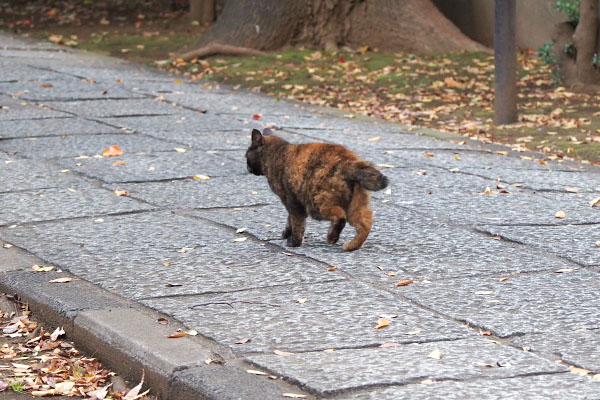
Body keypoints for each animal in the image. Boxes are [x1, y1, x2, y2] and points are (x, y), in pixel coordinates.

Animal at [245, 128, 390, 250]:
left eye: (246, 156)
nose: (247, 168)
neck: (276, 153)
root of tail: (350, 162)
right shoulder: (293, 203)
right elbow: (289, 220)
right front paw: (286, 233)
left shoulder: (292, 202)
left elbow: (296, 223)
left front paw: (293, 242)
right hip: (355, 206)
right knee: (365, 225)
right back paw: (351, 246)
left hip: (318, 202)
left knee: (340, 216)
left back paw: (332, 237)